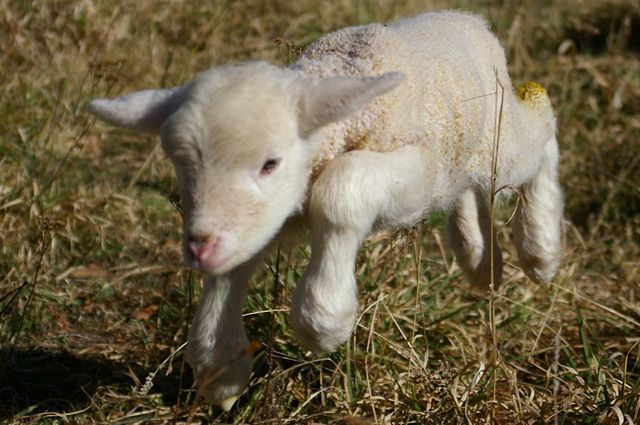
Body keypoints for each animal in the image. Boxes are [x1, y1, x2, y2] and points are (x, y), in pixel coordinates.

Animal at [88, 10, 563, 411]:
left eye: (270, 163)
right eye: (181, 166)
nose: (199, 250)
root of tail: (470, 19)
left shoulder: (416, 168)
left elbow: (342, 188)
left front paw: (323, 320)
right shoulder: (262, 218)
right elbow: (234, 264)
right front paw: (221, 369)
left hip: (497, 143)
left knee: (542, 132)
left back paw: (540, 248)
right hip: (461, 154)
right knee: (464, 190)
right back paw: (480, 263)